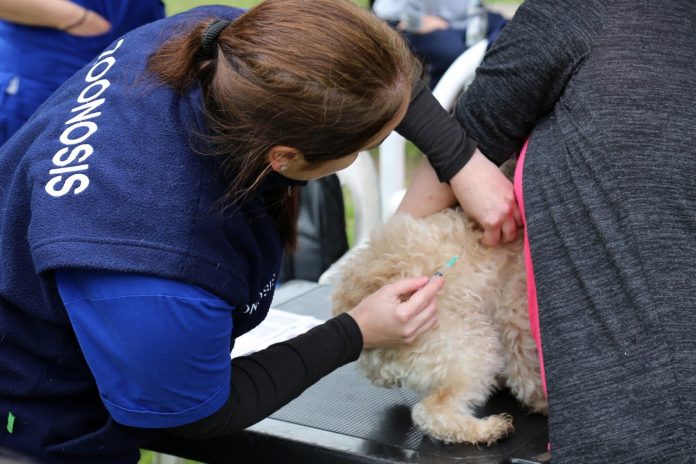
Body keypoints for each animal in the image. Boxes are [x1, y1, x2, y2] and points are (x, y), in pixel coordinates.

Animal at [334, 209, 548, 446]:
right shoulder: (515, 314)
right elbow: (527, 373)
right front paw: (542, 402)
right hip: (472, 347)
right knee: (431, 412)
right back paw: (487, 429)